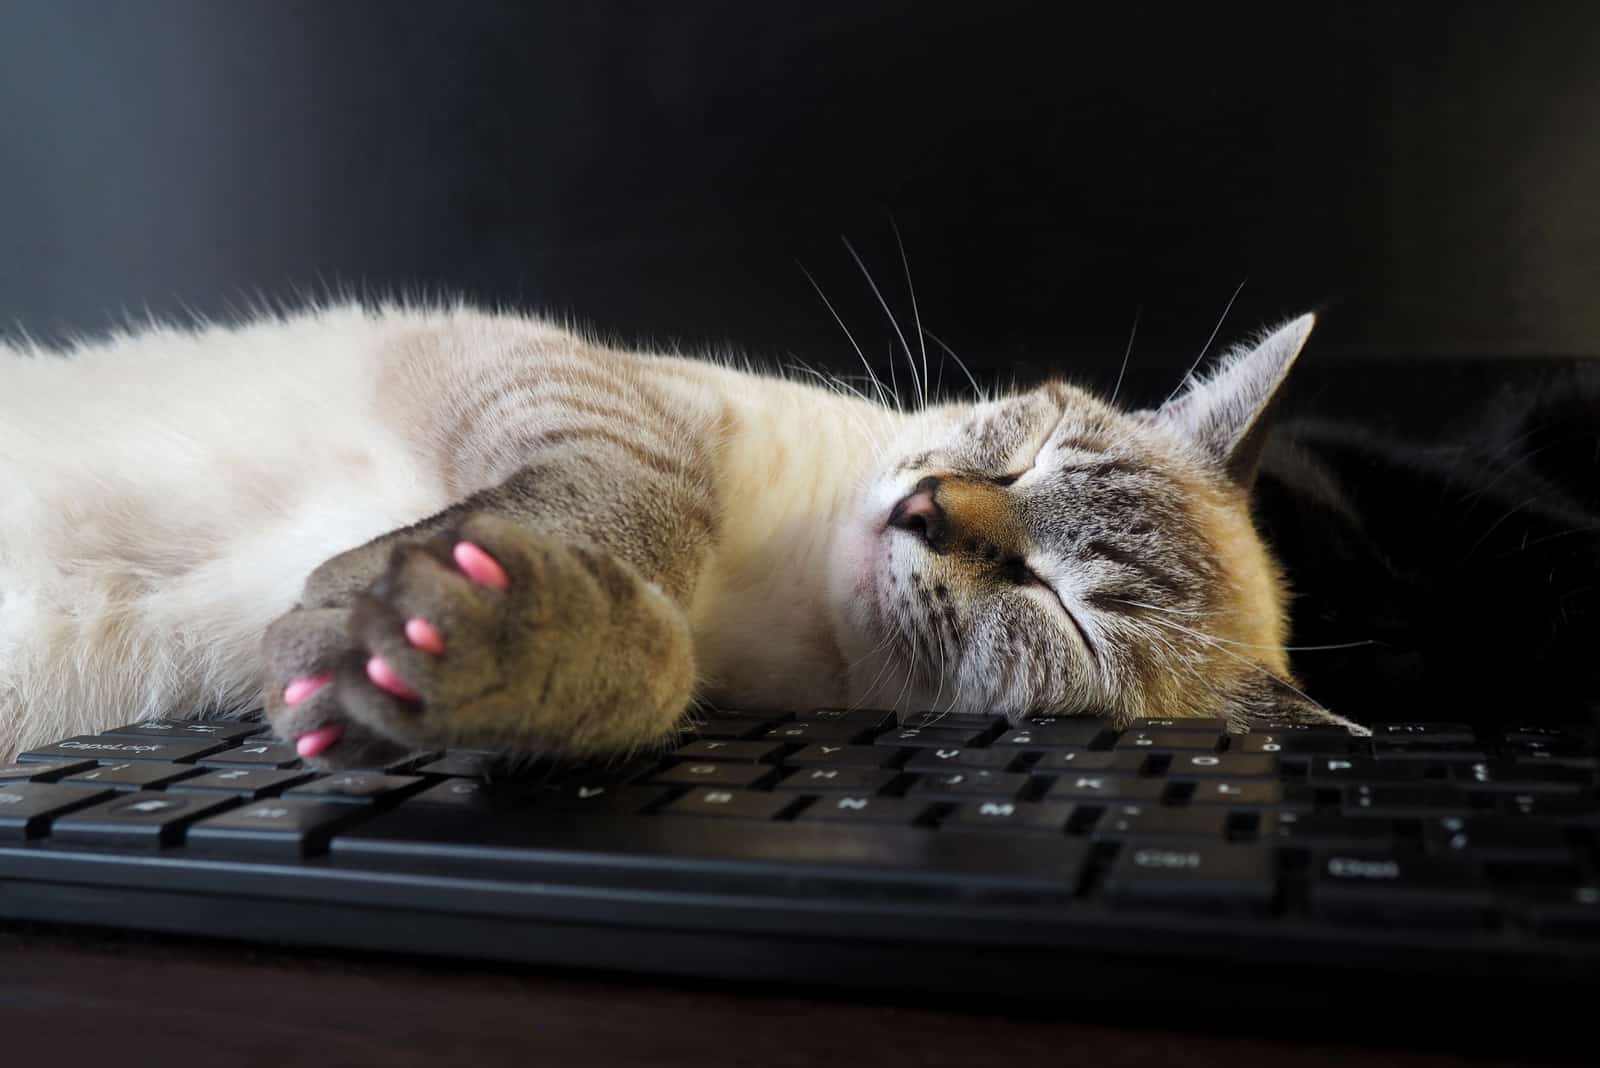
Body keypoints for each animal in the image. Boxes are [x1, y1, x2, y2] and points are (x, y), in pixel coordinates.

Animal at [0, 302, 1363, 767]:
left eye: (1066, 611)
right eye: (1018, 451)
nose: (926, 508)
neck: (779, 604)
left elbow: (659, 669)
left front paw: (457, 646)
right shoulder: (557, 373)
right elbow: (656, 504)